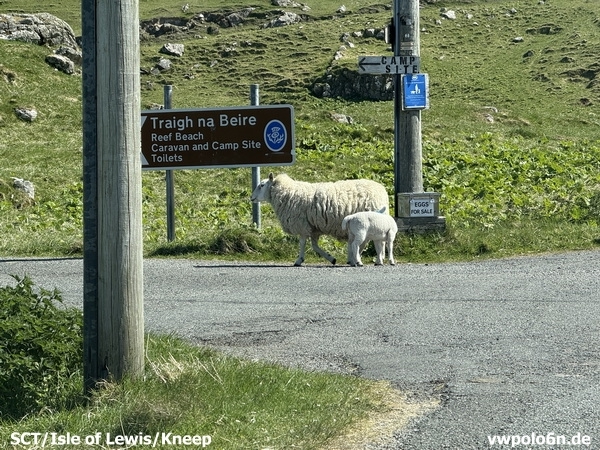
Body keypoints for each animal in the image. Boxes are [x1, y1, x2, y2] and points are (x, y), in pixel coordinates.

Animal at [250, 172, 389, 266]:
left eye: (261, 185)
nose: (251, 198)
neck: (288, 193)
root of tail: (382, 191)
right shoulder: (313, 228)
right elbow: (315, 246)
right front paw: (331, 258)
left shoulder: (302, 225)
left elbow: (302, 244)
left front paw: (299, 260)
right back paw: (359, 259)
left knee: (374, 242)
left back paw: (370, 260)